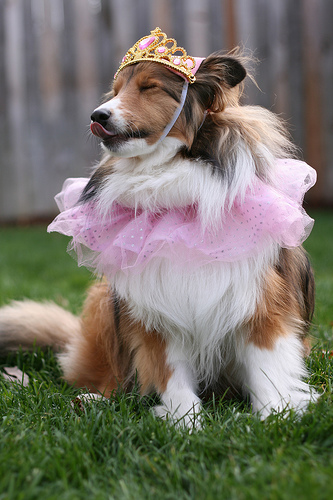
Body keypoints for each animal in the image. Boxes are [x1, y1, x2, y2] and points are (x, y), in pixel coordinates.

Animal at [0, 28, 316, 426]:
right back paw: (91, 400)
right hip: (105, 303)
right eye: (116, 90)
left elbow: (267, 366)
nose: (97, 115)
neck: (166, 177)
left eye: (149, 87)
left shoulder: (262, 299)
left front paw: (275, 416)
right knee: (110, 378)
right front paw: (185, 423)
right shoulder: (154, 306)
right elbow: (169, 371)